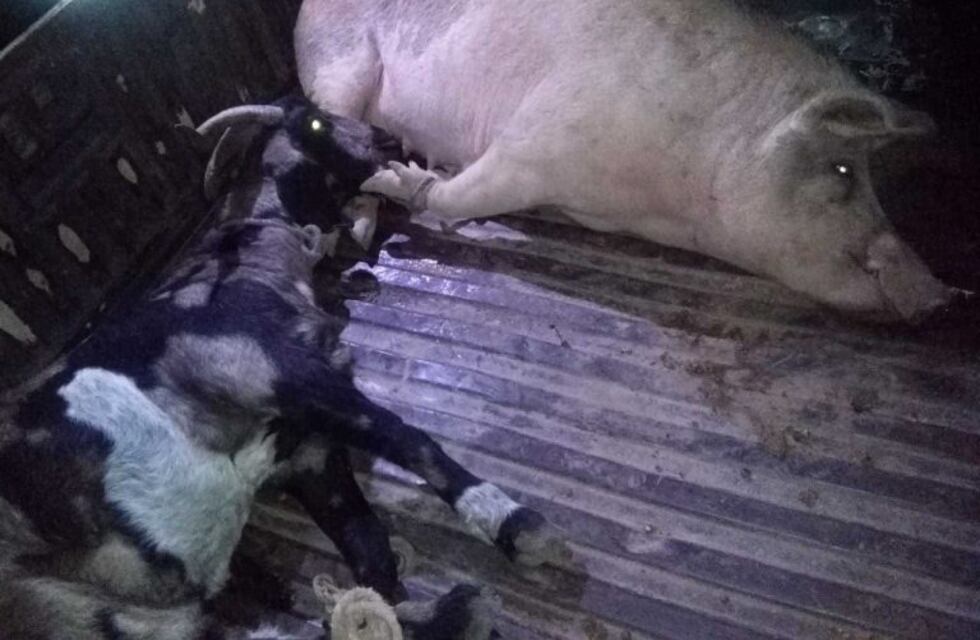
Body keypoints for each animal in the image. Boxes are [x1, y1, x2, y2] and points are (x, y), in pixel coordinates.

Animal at [0, 96, 563, 640]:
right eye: (313, 121)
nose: (390, 138)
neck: (252, 257)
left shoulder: (312, 454)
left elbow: (372, 554)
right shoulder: (272, 370)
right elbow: (404, 436)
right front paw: (513, 525)